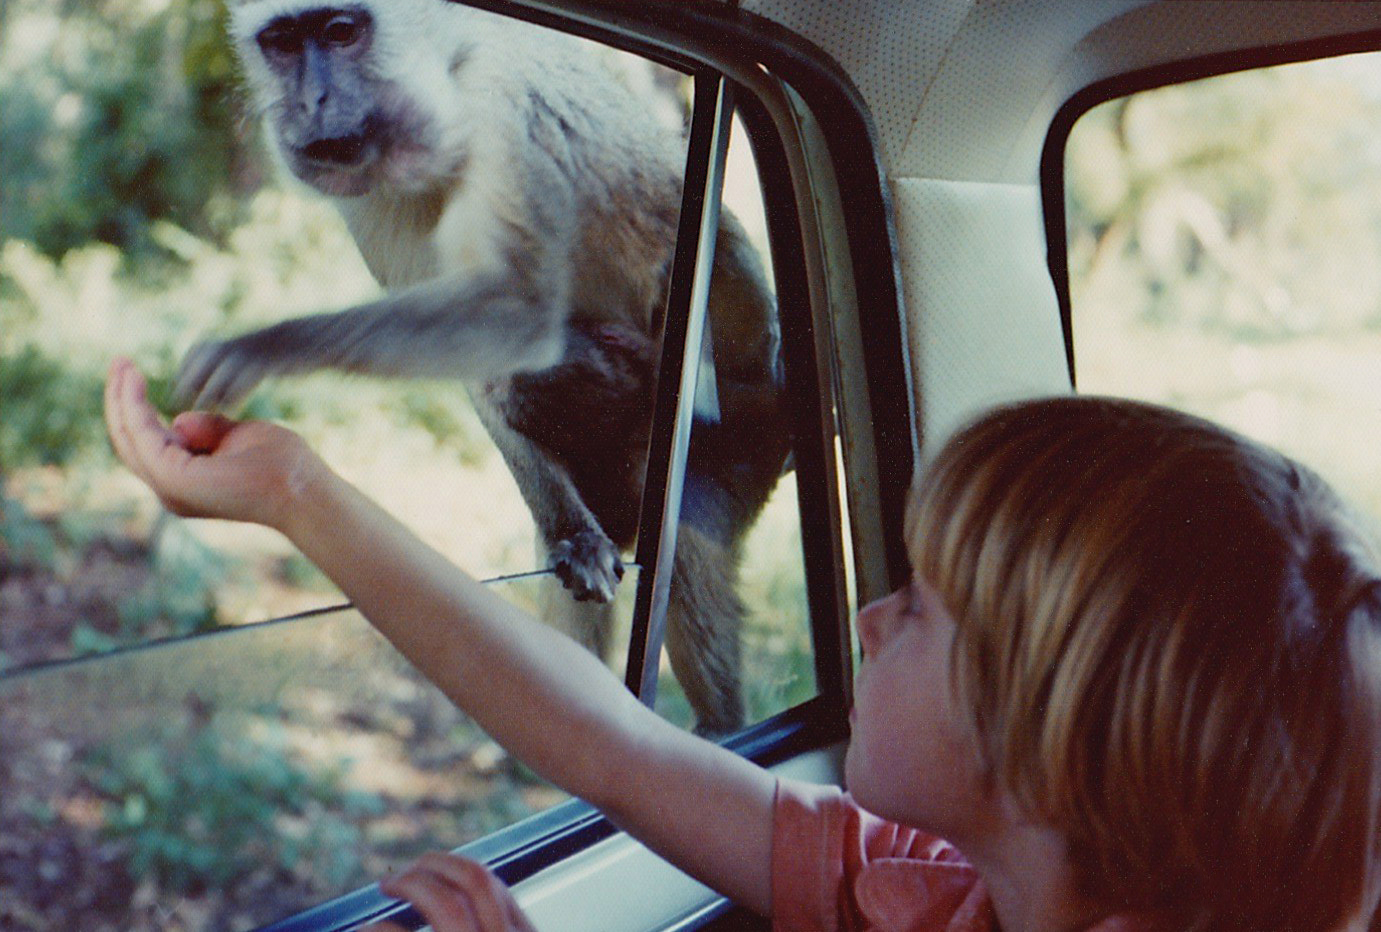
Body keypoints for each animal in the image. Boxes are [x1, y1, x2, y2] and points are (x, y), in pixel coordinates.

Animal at [177, 0, 791, 734]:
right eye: (283, 44)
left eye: (340, 33)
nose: (312, 101)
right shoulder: (368, 195)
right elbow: (481, 361)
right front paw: (573, 539)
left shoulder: (505, 107)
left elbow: (517, 313)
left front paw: (270, 345)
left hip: (745, 438)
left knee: (685, 526)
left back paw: (722, 729)